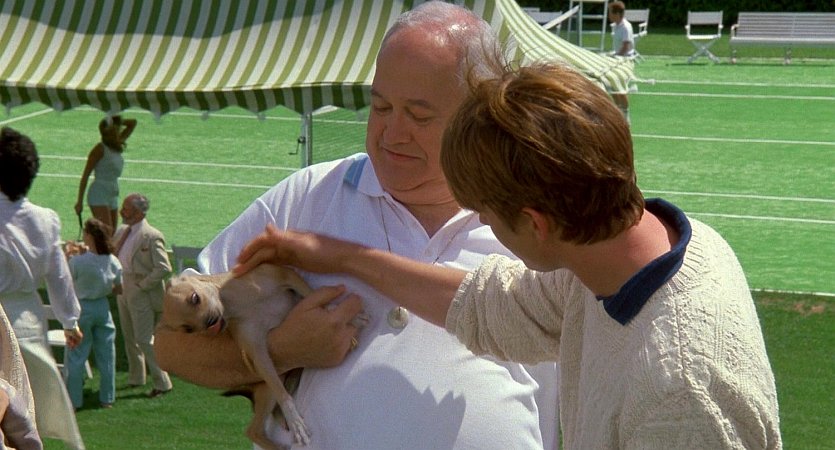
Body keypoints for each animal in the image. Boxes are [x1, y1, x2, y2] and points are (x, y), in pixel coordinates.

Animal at [159, 264, 363, 449]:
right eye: (188, 329)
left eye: (195, 298)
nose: (210, 323)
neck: (240, 301)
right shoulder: (258, 354)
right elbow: (281, 394)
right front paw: (294, 419)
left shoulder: (286, 275)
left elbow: (311, 293)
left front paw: (345, 314)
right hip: (269, 388)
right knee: (254, 430)